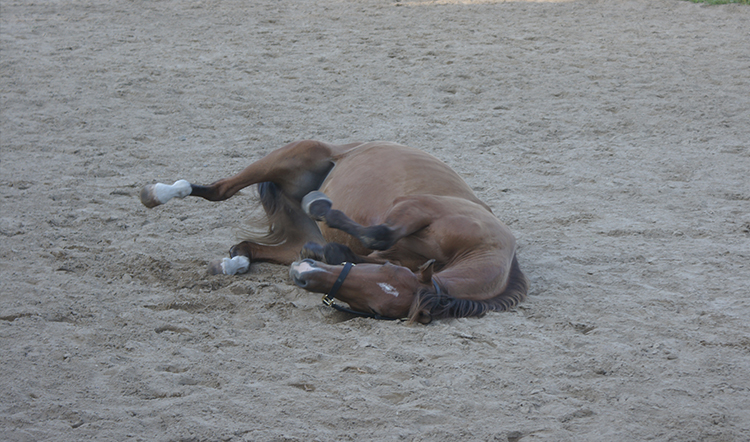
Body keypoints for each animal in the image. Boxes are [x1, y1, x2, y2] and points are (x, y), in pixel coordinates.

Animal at [141, 140, 528, 322]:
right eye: (388, 273)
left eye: (375, 308)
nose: (302, 275)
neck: (480, 246)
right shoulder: (415, 208)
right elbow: (379, 233)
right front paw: (323, 209)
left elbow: (348, 249)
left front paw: (321, 255)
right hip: (290, 155)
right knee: (220, 190)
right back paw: (159, 192)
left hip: (295, 234)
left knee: (249, 247)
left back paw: (233, 263)